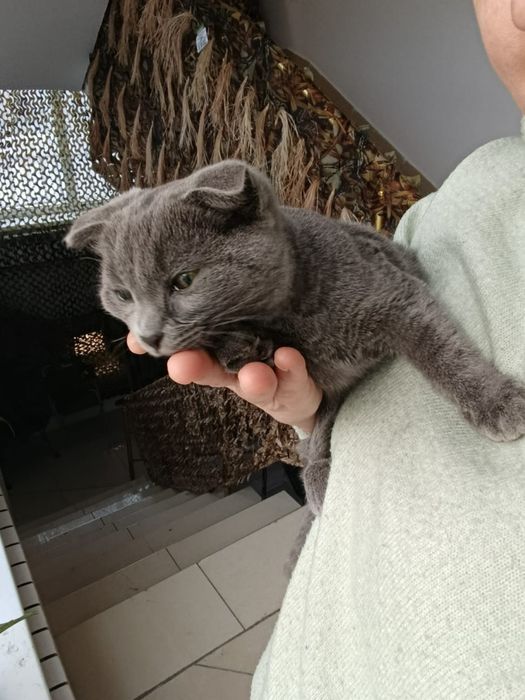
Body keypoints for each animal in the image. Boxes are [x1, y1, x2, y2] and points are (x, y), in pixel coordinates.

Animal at [65, 159, 525, 515]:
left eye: (184, 281)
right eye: (122, 295)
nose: (148, 334)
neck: (289, 314)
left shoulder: (398, 295)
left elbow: (444, 353)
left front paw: (497, 402)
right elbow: (317, 418)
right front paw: (241, 346)